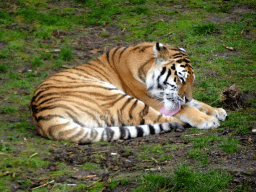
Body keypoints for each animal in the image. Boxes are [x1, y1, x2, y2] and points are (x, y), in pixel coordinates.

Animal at [29, 42, 227, 144]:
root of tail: (42, 116)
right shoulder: (152, 99)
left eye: (192, 80)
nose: (187, 96)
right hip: (117, 97)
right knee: (163, 119)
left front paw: (217, 110)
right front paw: (208, 119)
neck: (144, 64)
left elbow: (195, 103)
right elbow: (186, 108)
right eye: (180, 78)